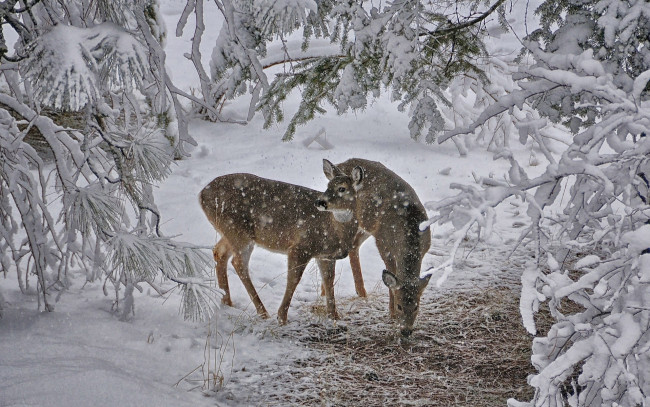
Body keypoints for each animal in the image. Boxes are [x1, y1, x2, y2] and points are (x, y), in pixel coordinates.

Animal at [199, 174, 360, 326]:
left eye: (342, 188)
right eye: (328, 186)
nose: (320, 202)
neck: (335, 229)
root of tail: (201, 194)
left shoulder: (325, 255)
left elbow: (329, 280)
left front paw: (334, 316)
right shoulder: (300, 247)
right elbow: (294, 279)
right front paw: (282, 317)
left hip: (230, 232)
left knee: (219, 252)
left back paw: (227, 302)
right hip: (238, 231)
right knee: (238, 263)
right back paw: (263, 312)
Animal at [314, 158, 430, 336]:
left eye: (416, 306)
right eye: (400, 306)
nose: (406, 331)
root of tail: (341, 164)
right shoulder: (383, 243)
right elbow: (391, 277)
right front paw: (391, 313)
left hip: (365, 226)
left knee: (353, 246)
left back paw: (360, 292)